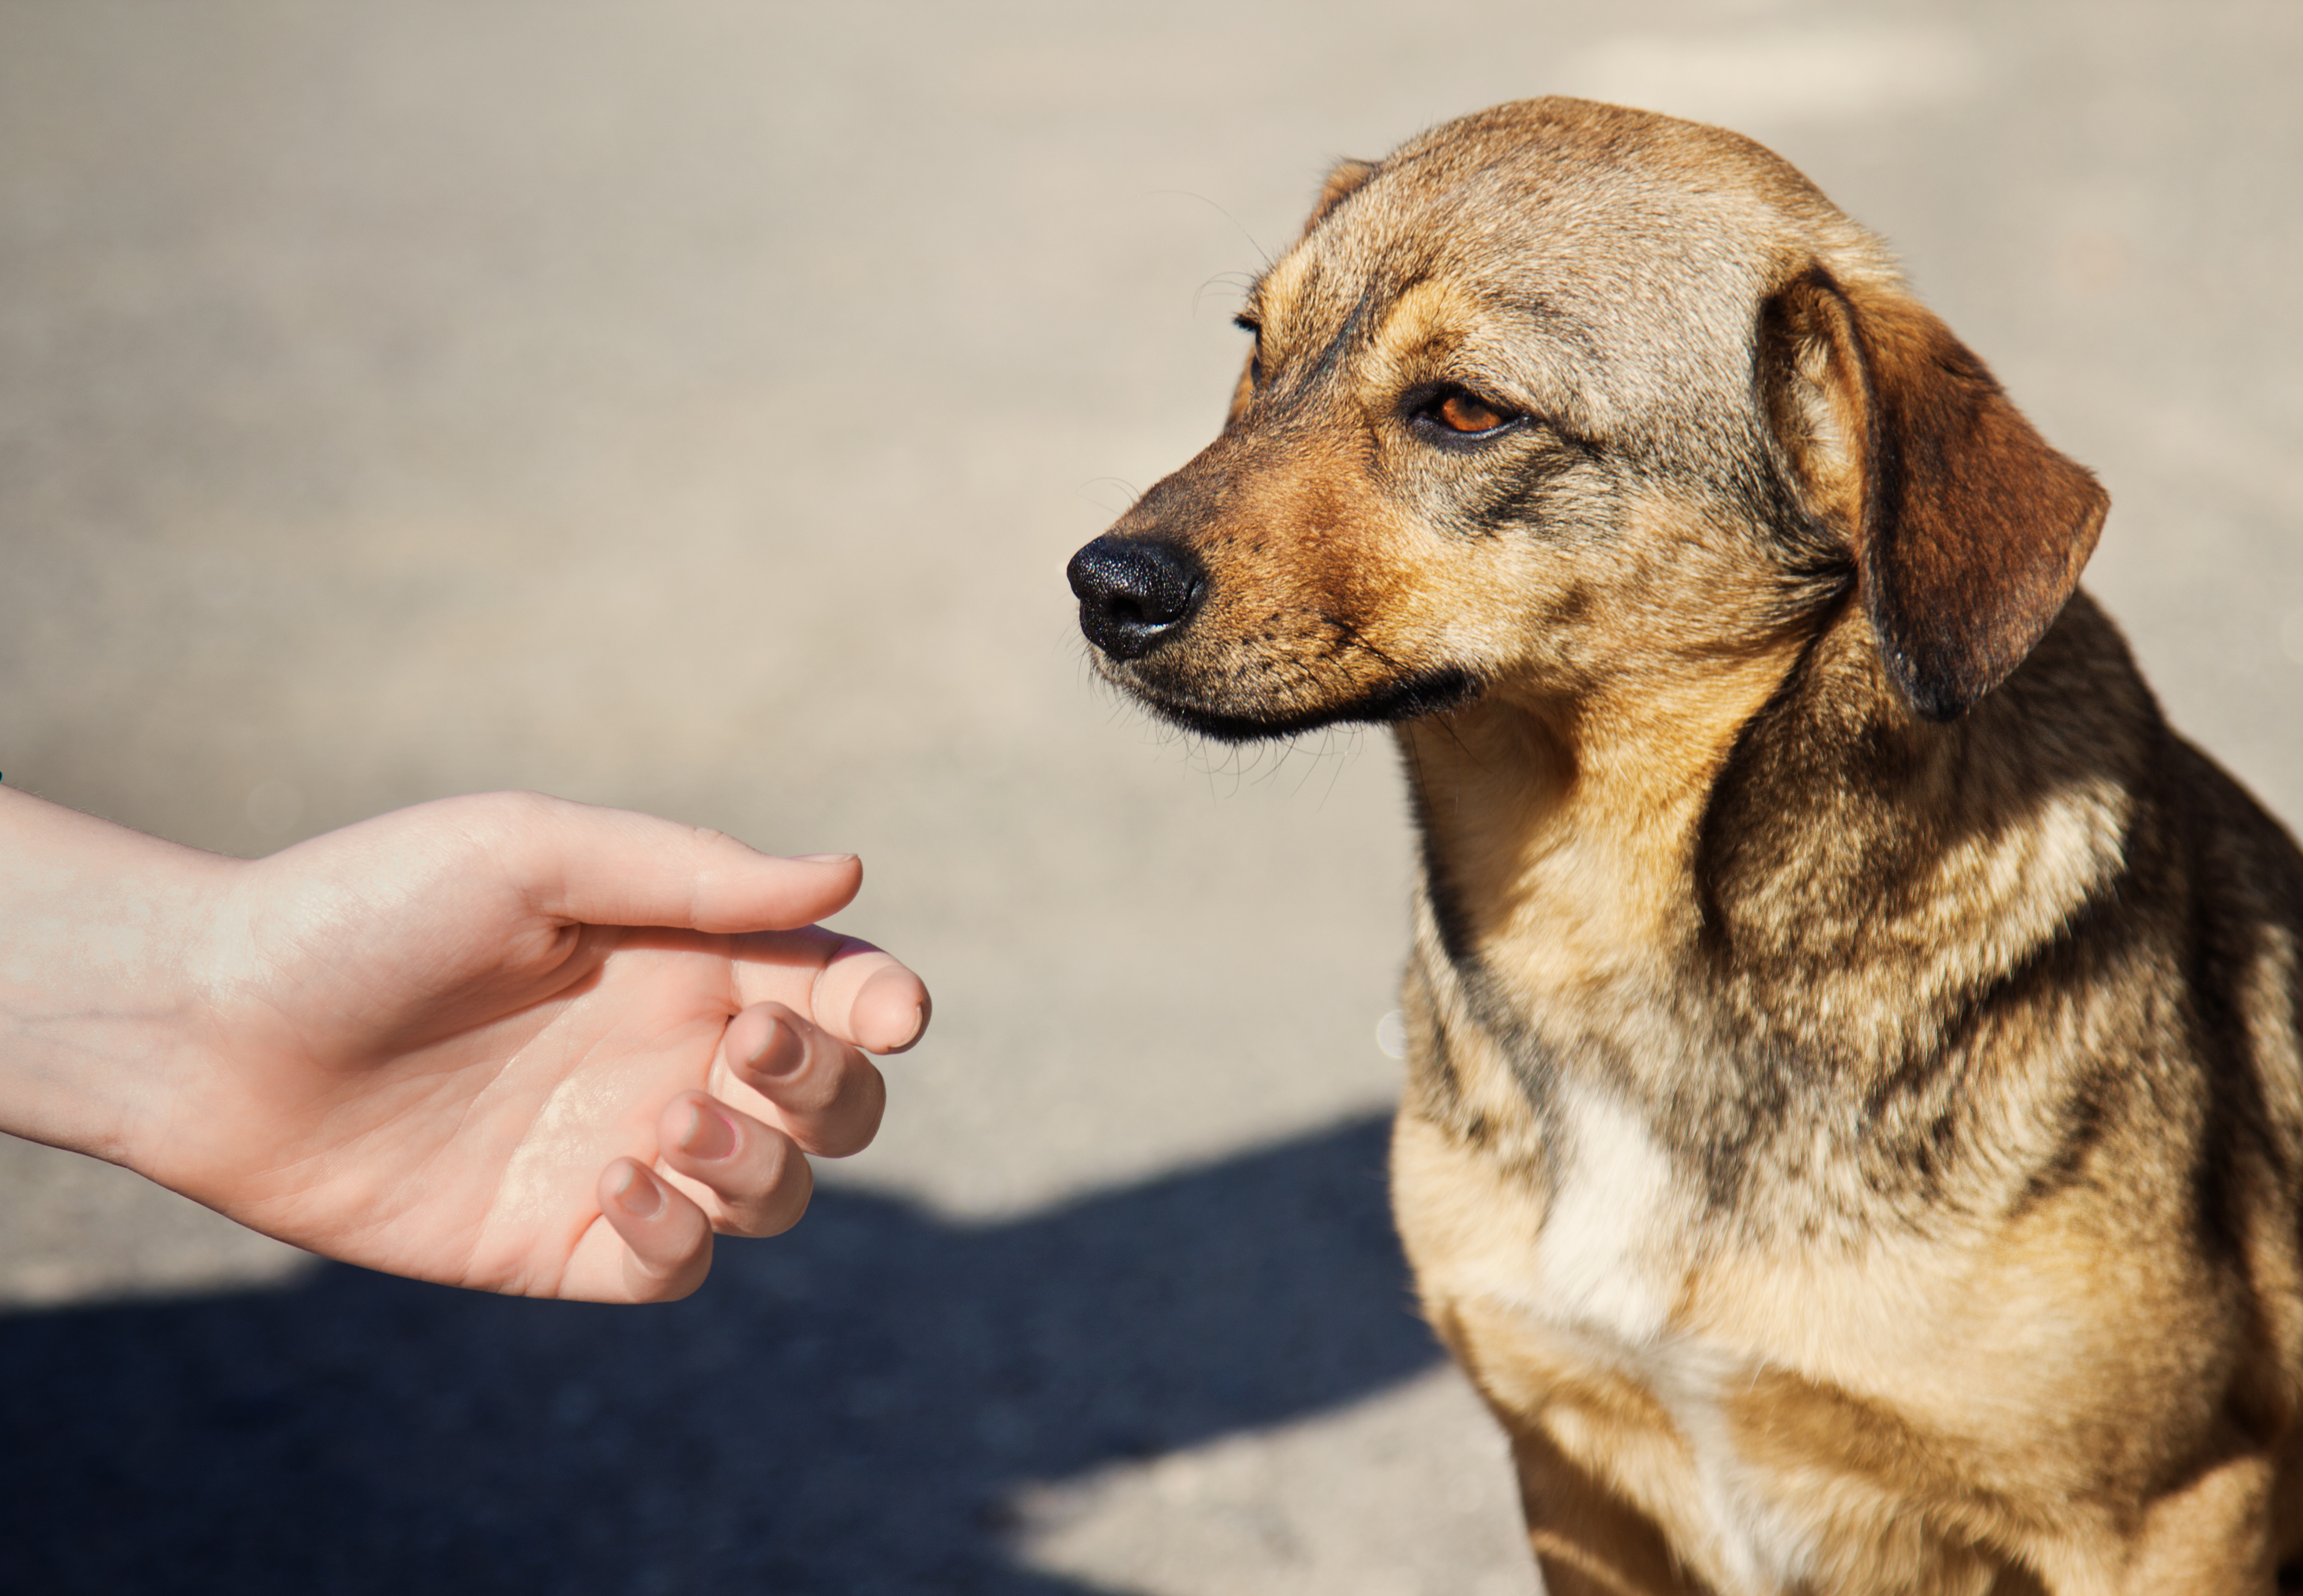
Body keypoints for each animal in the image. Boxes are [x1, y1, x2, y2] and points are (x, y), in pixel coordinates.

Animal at [1069, 100, 2303, 1594]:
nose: (1101, 586)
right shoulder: (1571, 1473)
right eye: (1256, 345)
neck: (1604, 928)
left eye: (1464, 410)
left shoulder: (2171, 1511)